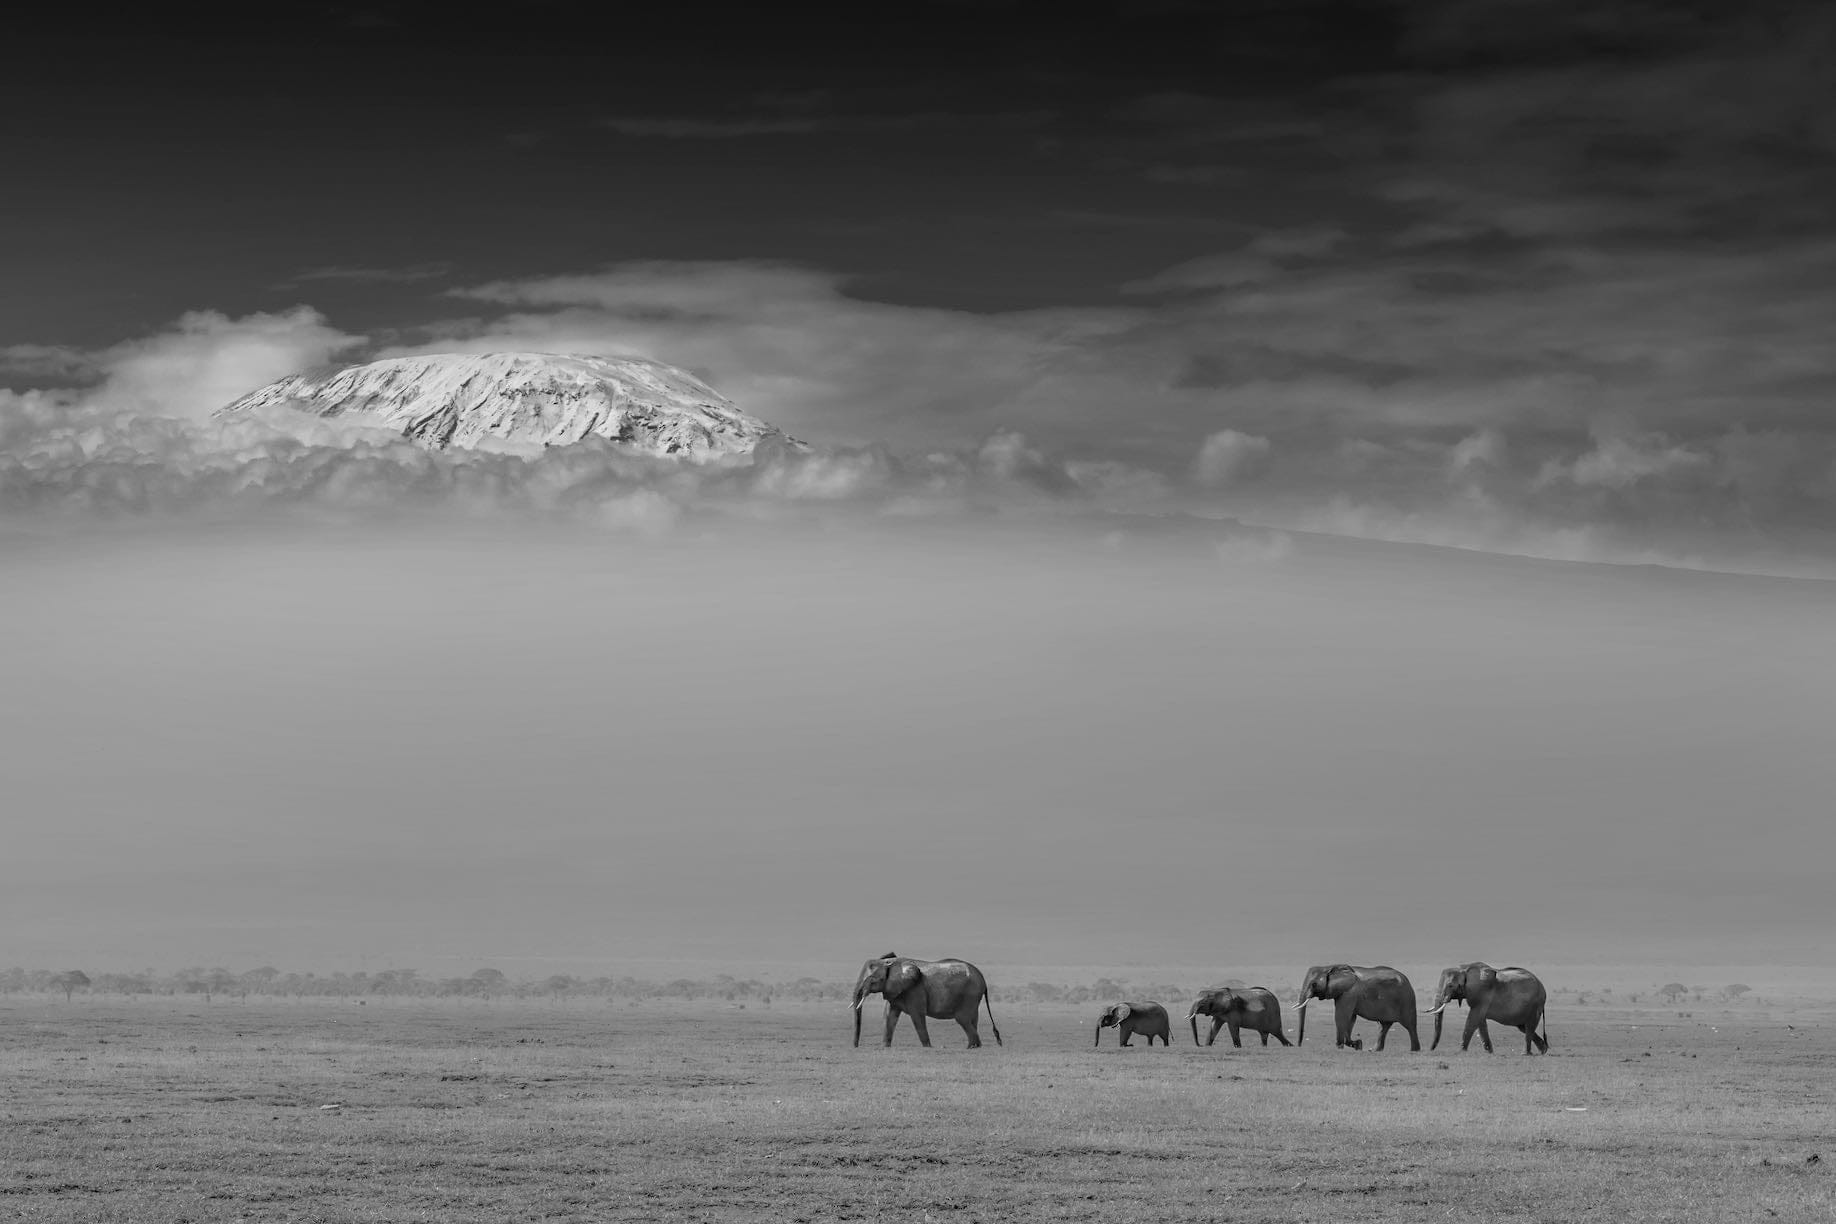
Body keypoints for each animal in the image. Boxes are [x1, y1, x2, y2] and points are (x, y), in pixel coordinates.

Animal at [851, 953, 1002, 1048]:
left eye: (874, 981)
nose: (856, 1047)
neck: (890, 962)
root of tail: (983, 979)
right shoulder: (895, 991)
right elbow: (889, 1016)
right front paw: (885, 1047)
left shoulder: (915, 990)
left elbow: (917, 1017)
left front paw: (928, 1048)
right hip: (974, 998)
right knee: (972, 1019)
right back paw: (975, 1047)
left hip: (969, 995)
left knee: (962, 1018)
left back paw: (971, 1047)